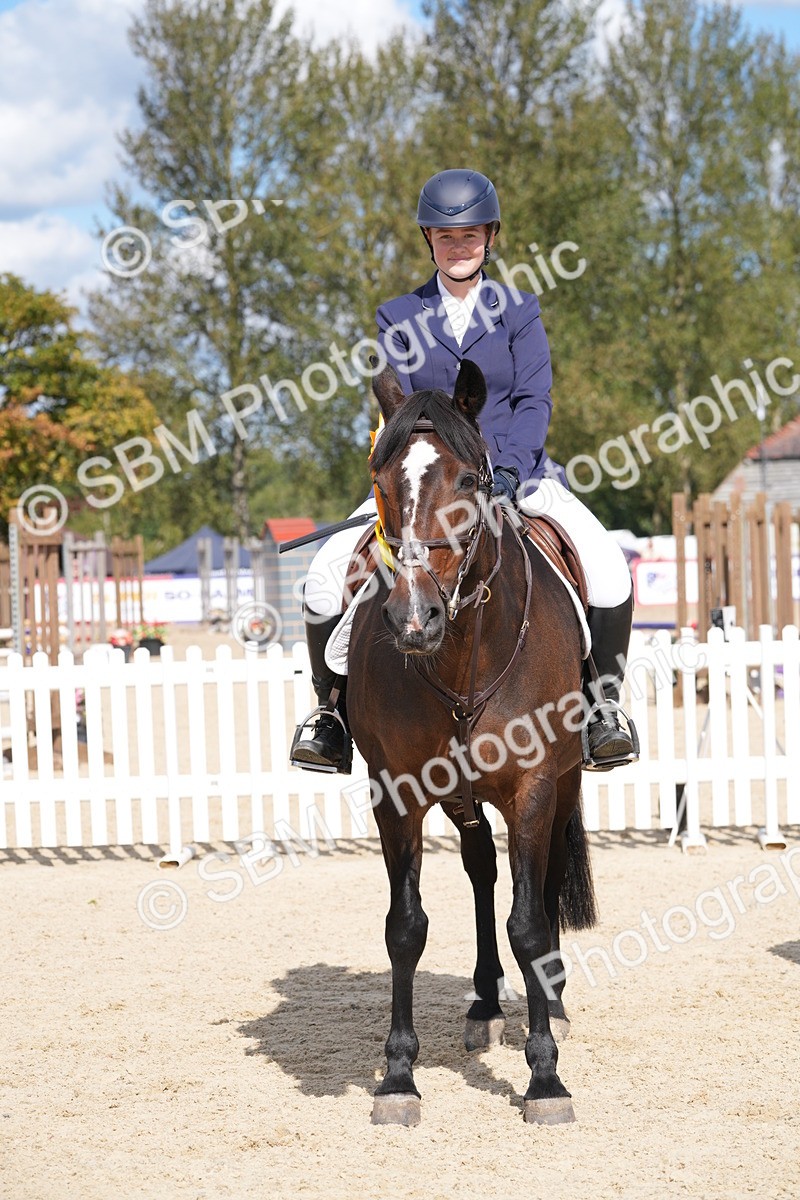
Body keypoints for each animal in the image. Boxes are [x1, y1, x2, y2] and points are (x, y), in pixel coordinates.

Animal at [346, 358, 598, 1127]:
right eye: (382, 480)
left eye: (468, 481)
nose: (413, 617)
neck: (461, 654)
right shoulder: (395, 795)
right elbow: (405, 927)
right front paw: (399, 1076)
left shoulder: (534, 787)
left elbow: (531, 925)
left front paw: (545, 1077)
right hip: (459, 796)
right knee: (483, 868)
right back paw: (486, 1002)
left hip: (561, 785)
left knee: (538, 880)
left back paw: (552, 1001)